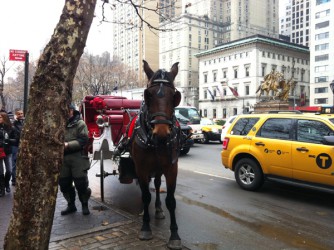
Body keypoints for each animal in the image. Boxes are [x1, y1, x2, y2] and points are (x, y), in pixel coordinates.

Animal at [130, 60, 183, 248]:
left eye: (174, 95)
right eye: (149, 95)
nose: (161, 133)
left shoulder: (171, 168)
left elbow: (171, 200)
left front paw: (174, 235)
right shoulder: (141, 168)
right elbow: (146, 196)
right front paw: (145, 227)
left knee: (159, 184)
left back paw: (159, 209)